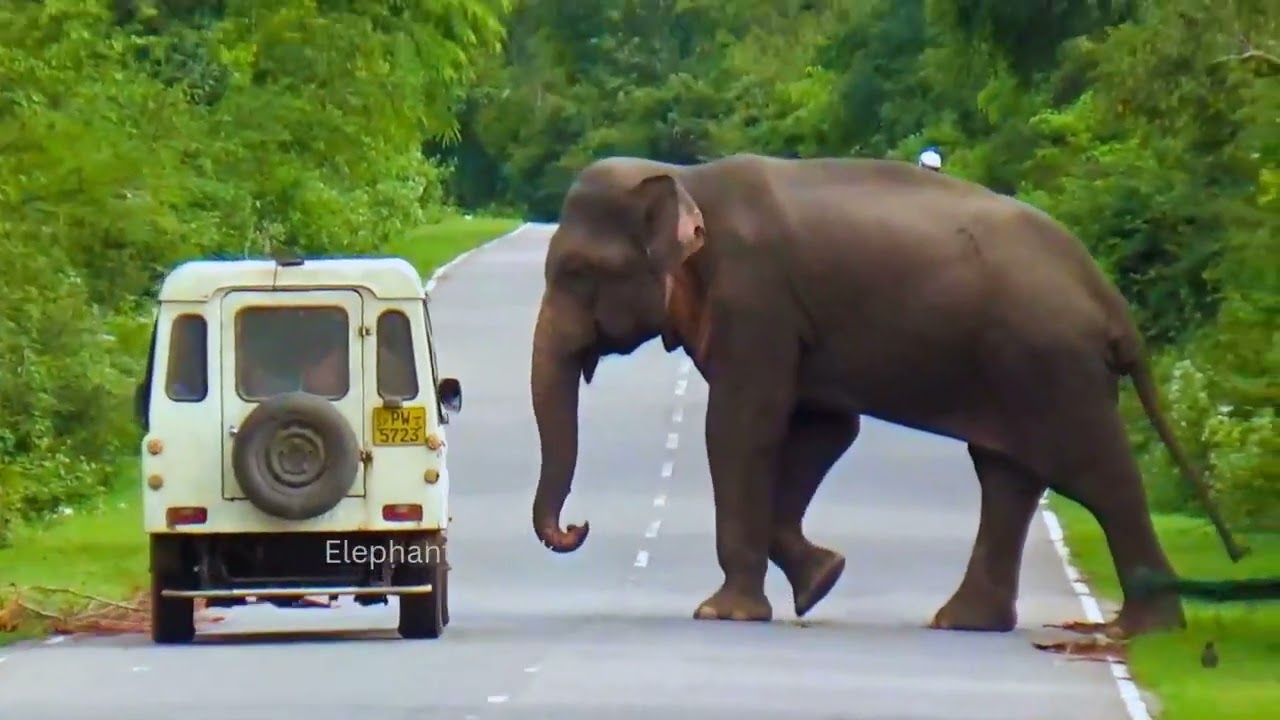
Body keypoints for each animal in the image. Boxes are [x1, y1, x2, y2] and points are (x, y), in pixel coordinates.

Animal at [528, 153, 1247, 638]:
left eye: (578, 272)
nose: (577, 527)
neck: (685, 178)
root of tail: (1107, 298)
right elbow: (824, 427)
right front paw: (823, 579)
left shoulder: (755, 305)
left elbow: (741, 425)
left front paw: (723, 614)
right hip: (1020, 368)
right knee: (1008, 475)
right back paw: (965, 622)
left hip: (1050, 364)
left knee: (1094, 474)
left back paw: (1145, 630)